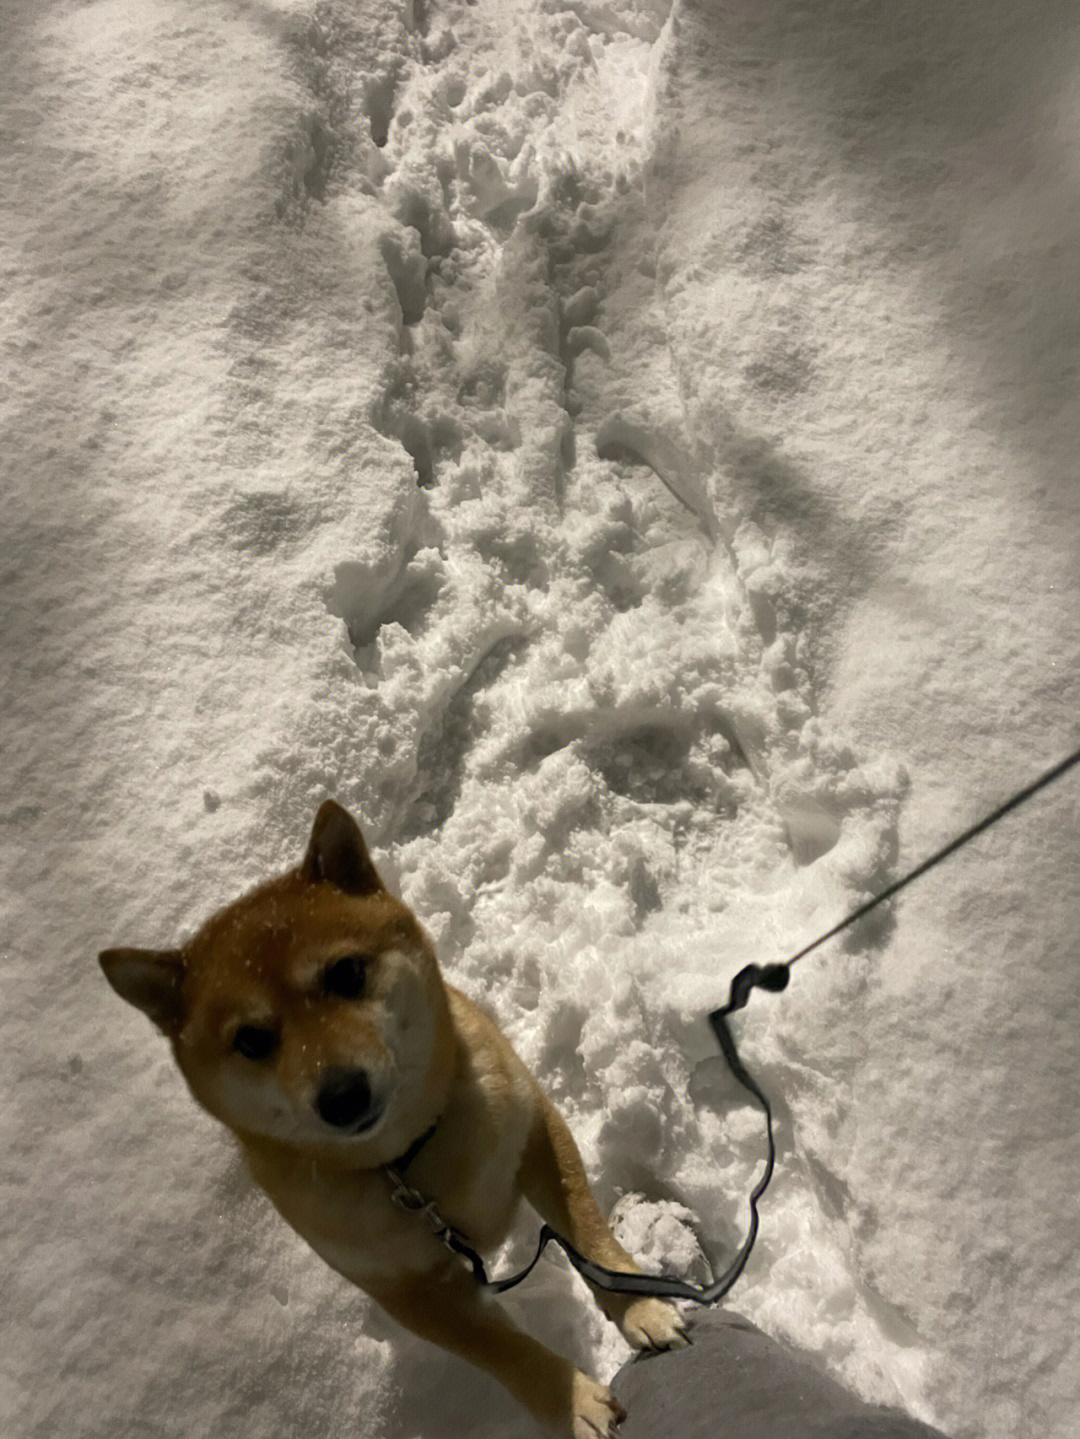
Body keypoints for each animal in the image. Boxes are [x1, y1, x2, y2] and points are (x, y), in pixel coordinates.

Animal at [103, 805, 693, 1433]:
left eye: (345, 973)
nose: (341, 1095)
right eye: (251, 1040)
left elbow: (588, 1233)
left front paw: (642, 1307)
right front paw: (571, 1401)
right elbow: (499, 1348)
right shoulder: (408, 1290)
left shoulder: (535, 1128)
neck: (413, 1157)